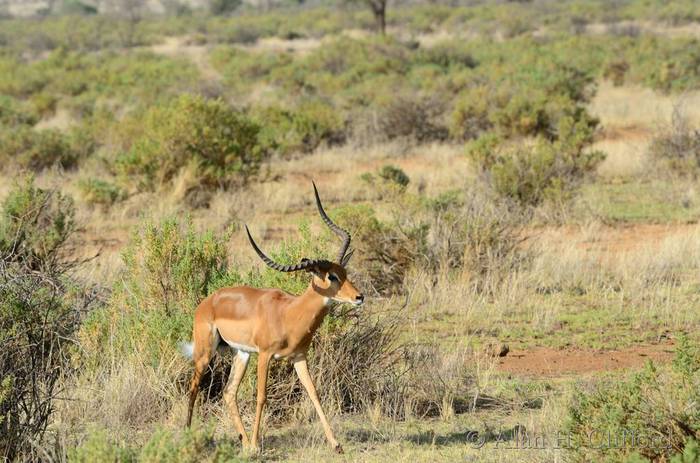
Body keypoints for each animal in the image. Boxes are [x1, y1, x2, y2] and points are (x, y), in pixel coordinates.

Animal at [183, 182, 364, 454]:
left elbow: (314, 393)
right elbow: (261, 396)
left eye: (345, 271)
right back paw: (190, 434)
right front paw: (257, 445)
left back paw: (243, 441)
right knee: (194, 387)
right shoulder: (265, 355)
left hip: (241, 354)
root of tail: (208, 301)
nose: (359, 297)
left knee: (229, 393)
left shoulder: (299, 357)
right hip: (206, 353)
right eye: (331, 276)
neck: (290, 314)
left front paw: (336, 444)